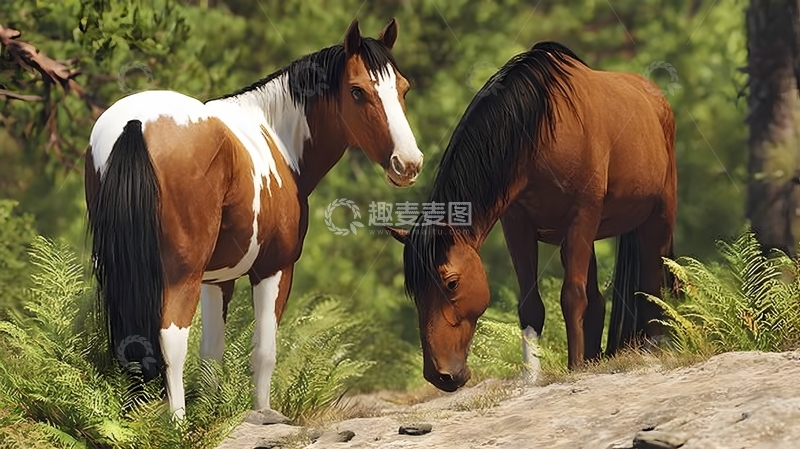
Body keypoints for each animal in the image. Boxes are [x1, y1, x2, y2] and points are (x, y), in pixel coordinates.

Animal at [84, 18, 423, 421]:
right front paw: (262, 414)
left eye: (403, 88)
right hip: (181, 275)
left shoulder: (217, 280)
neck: (277, 139)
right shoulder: (273, 269)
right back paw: (177, 422)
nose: (408, 163)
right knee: (171, 339)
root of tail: (136, 123)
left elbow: (211, 354)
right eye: (357, 91)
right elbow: (263, 352)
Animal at [386, 41, 677, 392]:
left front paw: (575, 368)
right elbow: (531, 305)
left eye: (451, 283)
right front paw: (534, 376)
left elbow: (572, 297)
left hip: (657, 217)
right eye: (414, 290)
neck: (540, 133)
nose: (439, 375)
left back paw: (651, 351)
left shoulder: (581, 218)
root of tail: (655, 98)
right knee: (599, 300)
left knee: (651, 286)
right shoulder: (518, 226)